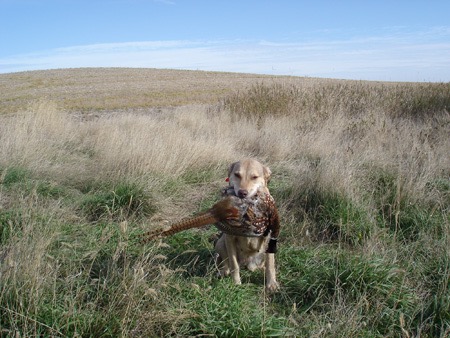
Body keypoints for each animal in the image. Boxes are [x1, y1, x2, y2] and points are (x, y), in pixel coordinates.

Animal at [214, 159, 278, 290]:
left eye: (254, 177)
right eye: (237, 175)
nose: (242, 193)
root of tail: (246, 264)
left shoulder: (269, 238)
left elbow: (270, 263)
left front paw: (271, 284)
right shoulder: (229, 239)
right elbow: (233, 264)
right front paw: (236, 283)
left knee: (264, 263)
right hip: (221, 242)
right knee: (226, 263)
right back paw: (224, 271)